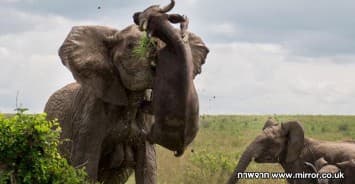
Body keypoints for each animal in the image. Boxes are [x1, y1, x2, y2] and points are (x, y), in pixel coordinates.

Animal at [44, 0, 209, 183]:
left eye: (159, 43)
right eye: (130, 46)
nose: (139, 15)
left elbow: (148, 167)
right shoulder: (90, 116)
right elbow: (85, 167)